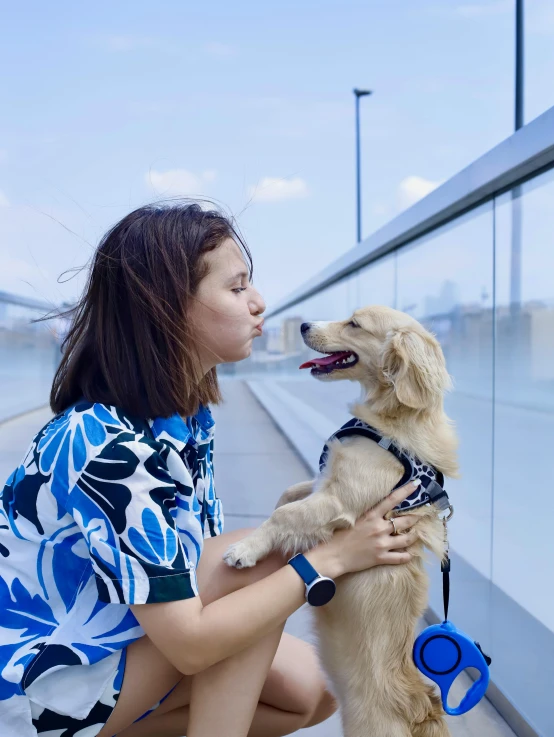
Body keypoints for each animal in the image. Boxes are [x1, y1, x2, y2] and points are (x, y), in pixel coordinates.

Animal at [223, 304, 458, 736]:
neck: (388, 421)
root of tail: (421, 710)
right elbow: (287, 498)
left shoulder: (339, 499)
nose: (302, 324)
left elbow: (285, 513)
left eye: (354, 324)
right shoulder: (322, 484)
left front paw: (246, 548)